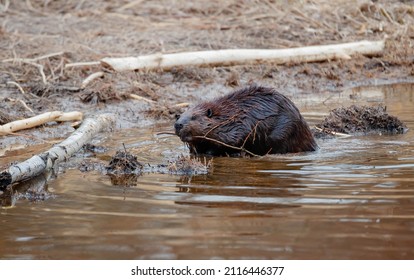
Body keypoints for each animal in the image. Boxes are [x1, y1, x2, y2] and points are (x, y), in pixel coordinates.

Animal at [174, 84, 316, 156]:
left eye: (194, 117)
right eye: (179, 116)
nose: (178, 124)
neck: (226, 115)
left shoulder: (239, 125)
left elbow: (234, 140)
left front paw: (210, 152)